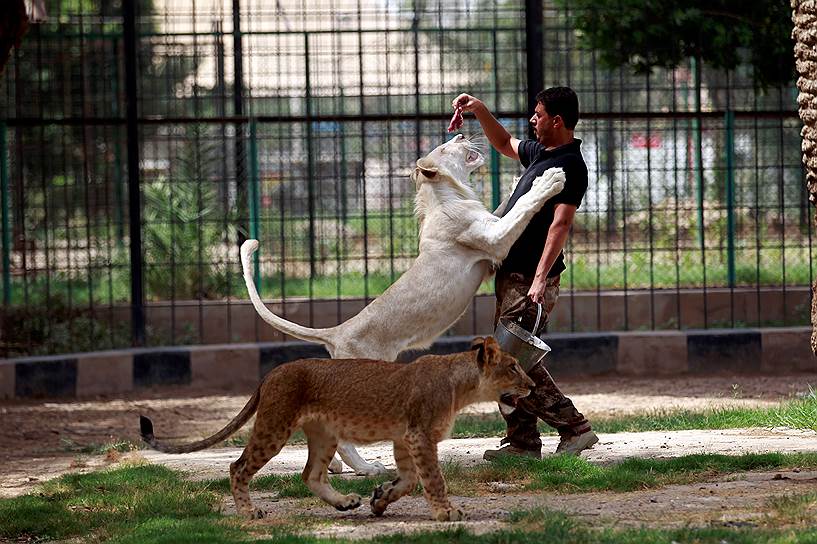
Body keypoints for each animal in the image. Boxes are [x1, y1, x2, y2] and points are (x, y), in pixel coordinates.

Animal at [239, 134, 564, 474]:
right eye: (447, 145)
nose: (462, 134)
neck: (448, 194)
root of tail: (338, 333)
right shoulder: (494, 242)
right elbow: (520, 209)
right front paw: (549, 180)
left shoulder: (490, 226)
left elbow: (504, 208)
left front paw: (516, 180)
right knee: (343, 436)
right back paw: (367, 468)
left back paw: (337, 466)